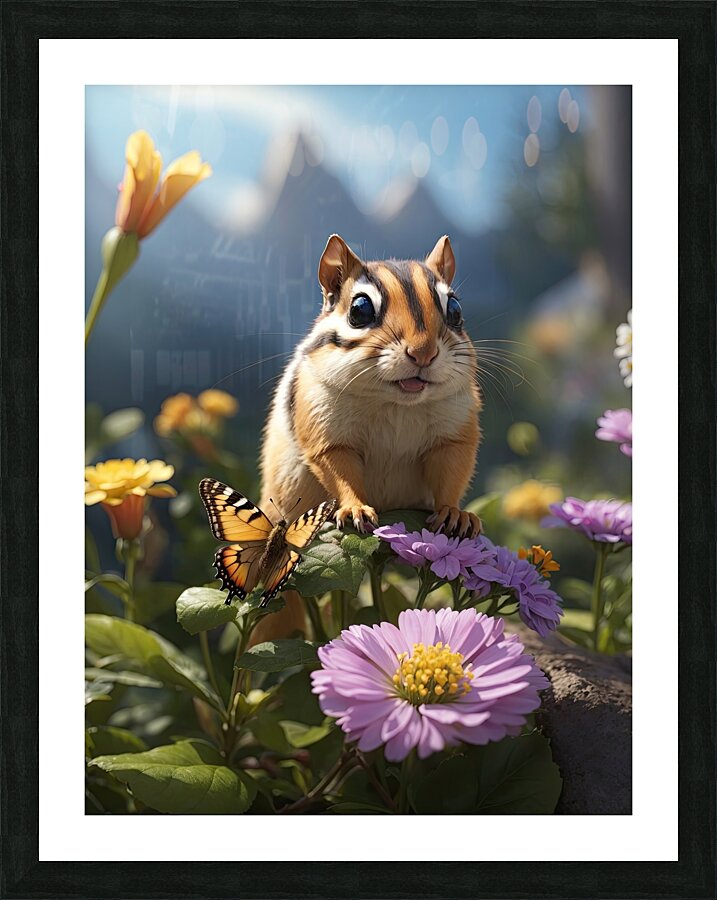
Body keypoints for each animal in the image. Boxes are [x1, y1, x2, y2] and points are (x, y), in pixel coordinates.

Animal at [251, 235, 482, 642]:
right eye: (359, 309)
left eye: (454, 309)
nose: (423, 352)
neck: (397, 402)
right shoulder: (326, 432)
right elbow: (339, 469)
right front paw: (356, 509)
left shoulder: (455, 433)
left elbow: (451, 470)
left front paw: (456, 513)